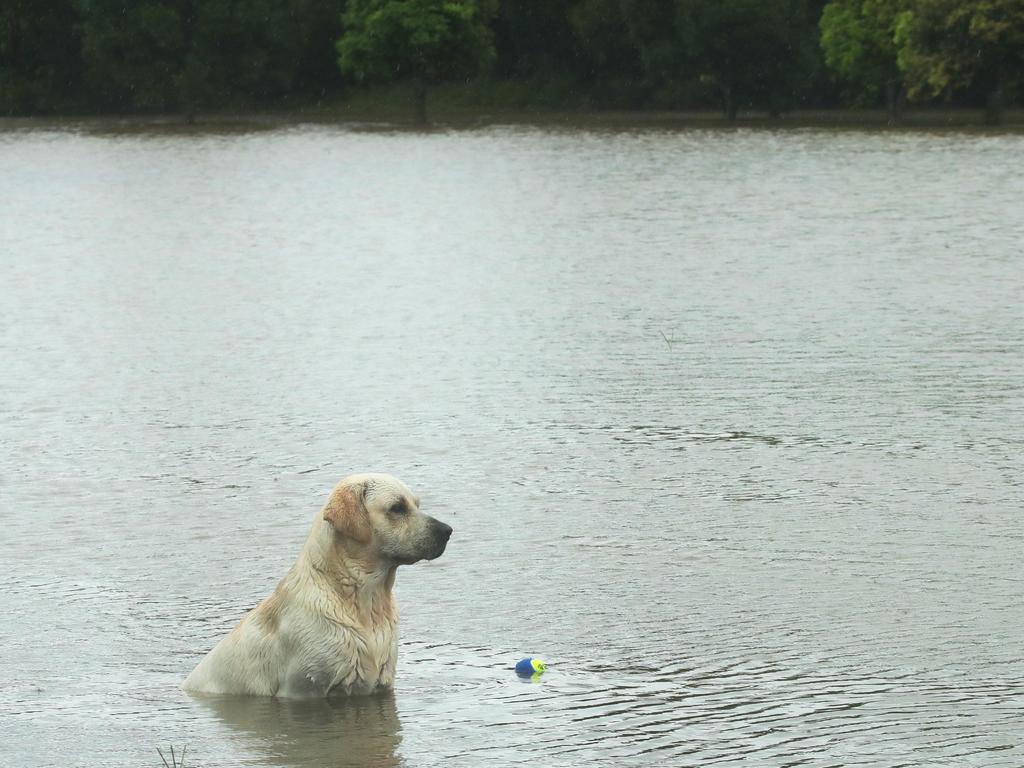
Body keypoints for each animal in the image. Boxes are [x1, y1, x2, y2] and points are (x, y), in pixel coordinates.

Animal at [183, 473, 452, 700]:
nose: (448, 531)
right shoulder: (303, 688)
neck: (366, 602)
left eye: (417, 504)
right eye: (397, 508)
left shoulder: (381, 686)